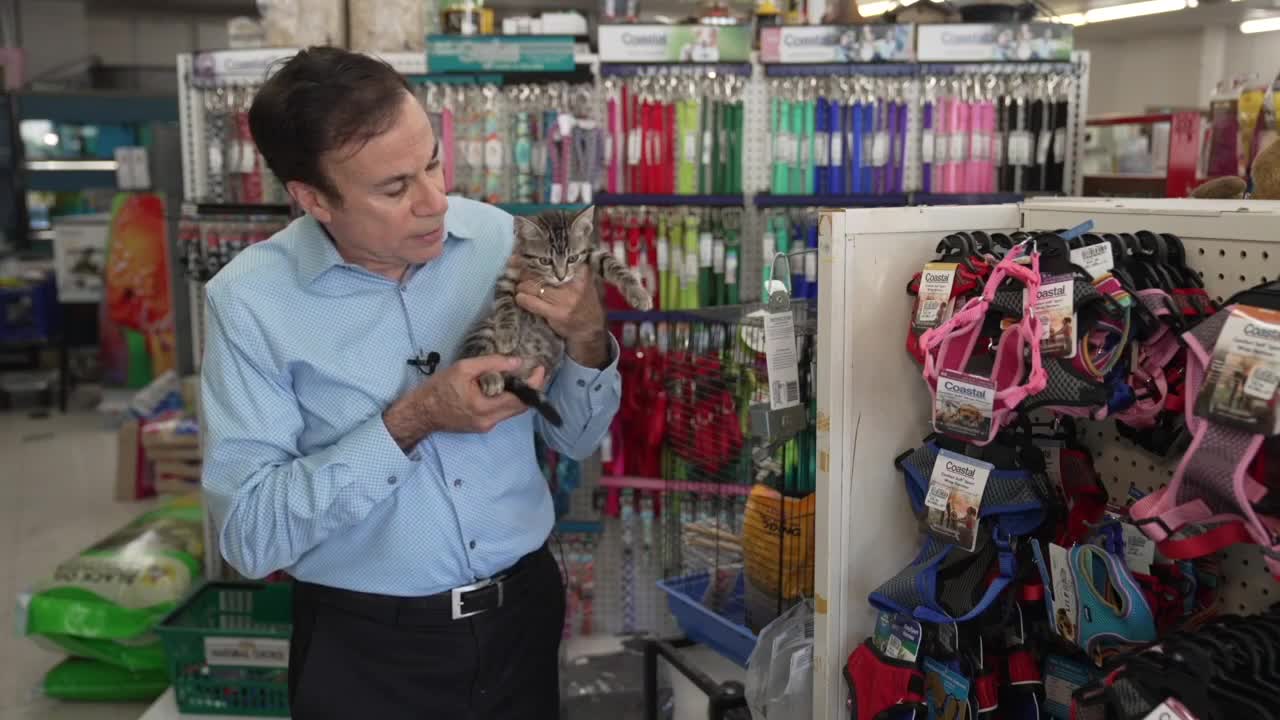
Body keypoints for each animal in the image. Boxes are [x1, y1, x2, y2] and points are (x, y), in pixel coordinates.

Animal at [460, 204, 655, 422]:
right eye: (545, 260)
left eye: (572, 258)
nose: (561, 277)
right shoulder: (509, 271)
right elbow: (504, 302)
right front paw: (507, 334)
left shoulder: (590, 252)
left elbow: (612, 263)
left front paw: (639, 293)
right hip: (485, 328)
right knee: (474, 354)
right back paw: (491, 377)